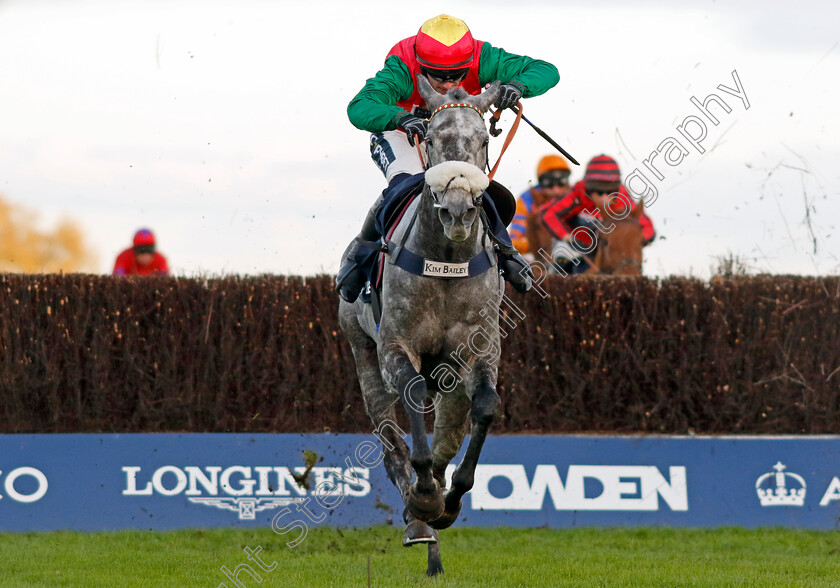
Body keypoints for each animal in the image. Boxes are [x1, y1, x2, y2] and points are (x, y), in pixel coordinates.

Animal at [336, 76, 506, 576]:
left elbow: (486, 406)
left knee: (448, 436)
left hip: (449, 381)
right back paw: (418, 519)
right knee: (390, 440)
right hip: (362, 354)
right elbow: (410, 407)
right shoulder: (396, 346)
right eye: (430, 138)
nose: (457, 210)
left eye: (483, 140)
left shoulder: (482, 349)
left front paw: (452, 498)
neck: (446, 259)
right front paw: (427, 499)